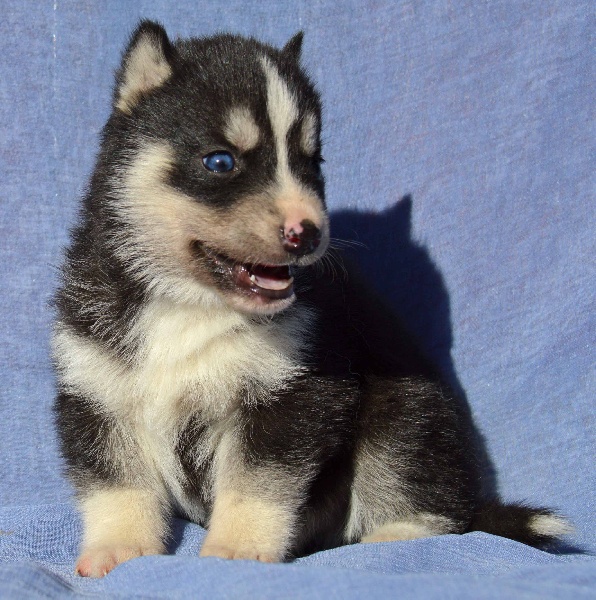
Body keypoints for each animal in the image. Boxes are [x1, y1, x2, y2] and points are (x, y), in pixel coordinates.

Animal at [52, 21, 570, 578]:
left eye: (311, 162)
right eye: (220, 161)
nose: (309, 234)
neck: (191, 302)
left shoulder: (292, 393)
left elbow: (255, 485)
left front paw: (235, 551)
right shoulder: (97, 390)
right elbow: (118, 486)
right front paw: (119, 548)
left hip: (405, 413)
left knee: (432, 506)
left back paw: (393, 539)